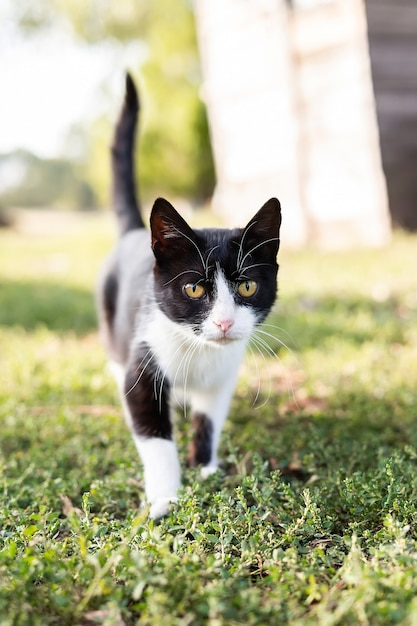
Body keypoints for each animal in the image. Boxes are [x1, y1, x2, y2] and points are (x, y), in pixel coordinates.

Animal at [96, 74, 282, 516]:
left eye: (247, 286)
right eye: (194, 288)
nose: (225, 322)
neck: (200, 352)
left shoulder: (223, 376)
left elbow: (210, 419)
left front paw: (207, 468)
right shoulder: (144, 360)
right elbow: (154, 434)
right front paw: (165, 497)